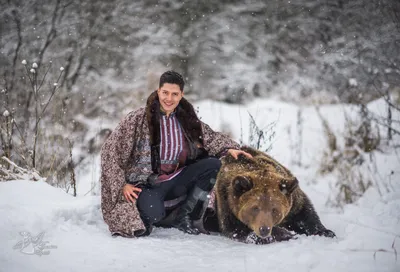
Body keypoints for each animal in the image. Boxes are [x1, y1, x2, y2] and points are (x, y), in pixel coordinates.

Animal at [209, 147, 338, 244]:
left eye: (274, 209)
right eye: (255, 208)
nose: (264, 229)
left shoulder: (294, 200)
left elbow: (305, 214)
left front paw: (326, 232)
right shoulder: (227, 204)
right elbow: (238, 230)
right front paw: (288, 234)